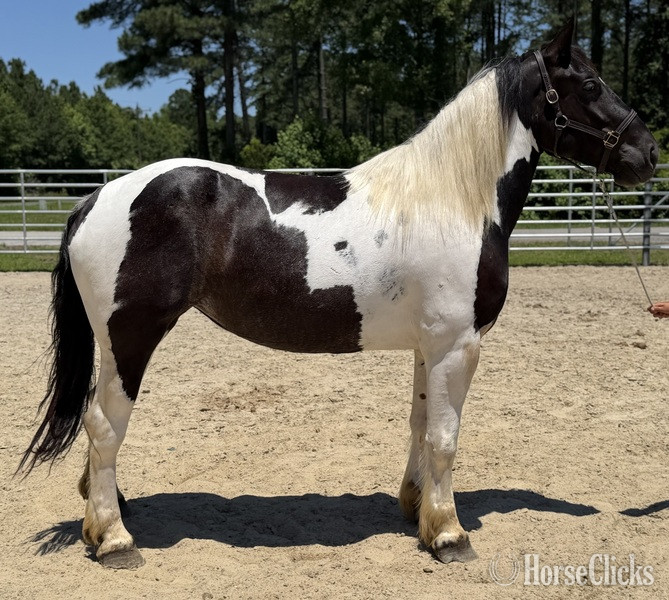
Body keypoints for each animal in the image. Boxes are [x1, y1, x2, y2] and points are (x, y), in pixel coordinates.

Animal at [20, 19, 658, 570]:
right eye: (591, 84)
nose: (648, 152)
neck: (451, 200)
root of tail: (97, 197)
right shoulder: (457, 345)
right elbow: (446, 438)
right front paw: (450, 535)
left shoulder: (429, 346)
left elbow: (420, 424)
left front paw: (416, 510)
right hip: (130, 338)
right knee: (104, 425)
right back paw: (114, 539)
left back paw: (105, 515)